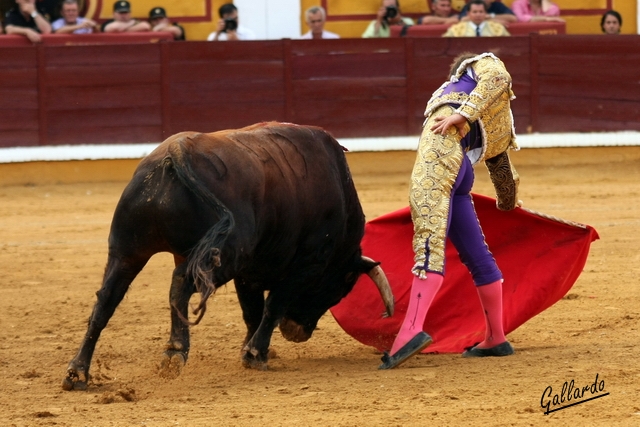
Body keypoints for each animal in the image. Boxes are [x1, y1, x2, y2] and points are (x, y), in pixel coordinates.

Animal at [65, 121, 396, 392]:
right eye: (339, 290)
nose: (297, 333)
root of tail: (176, 152)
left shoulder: (248, 273)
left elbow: (253, 312)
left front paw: (253, 349)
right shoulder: (304, 266)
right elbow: (272, 305)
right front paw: (256, 354)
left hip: (127, 250)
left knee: (106, 301)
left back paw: (77, 372)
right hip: (223, 256)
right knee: (178, 286)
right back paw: (174, 352)